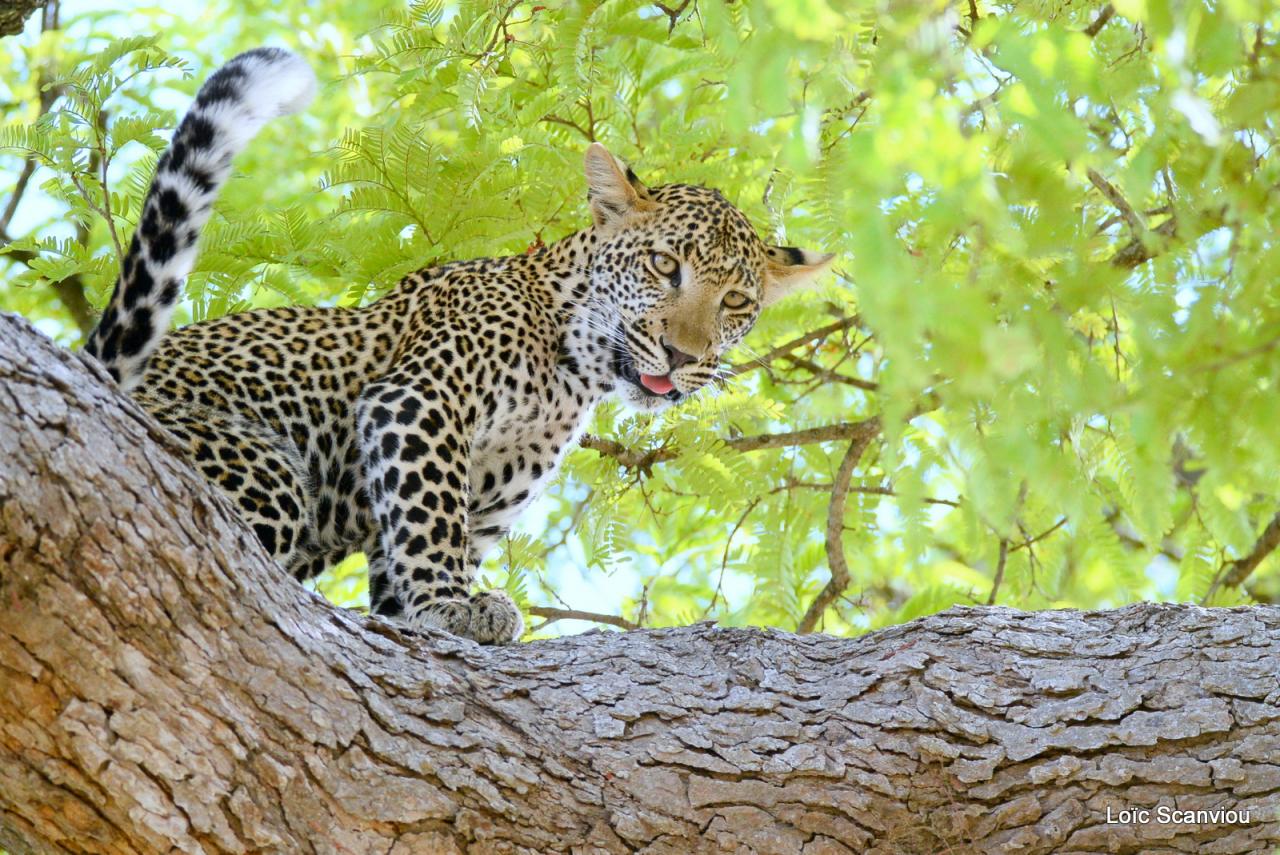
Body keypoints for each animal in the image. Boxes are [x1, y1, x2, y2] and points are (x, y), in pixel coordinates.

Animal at [82, 48, 839, 639]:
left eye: (735, 303)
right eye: (662, 266)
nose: (682, 357)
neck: (575, 373)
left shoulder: (491, 491)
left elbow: (410, 560)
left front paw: (429, 610)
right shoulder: (416, 400)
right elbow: (429, 515)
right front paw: (451, 606)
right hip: (264, 465)